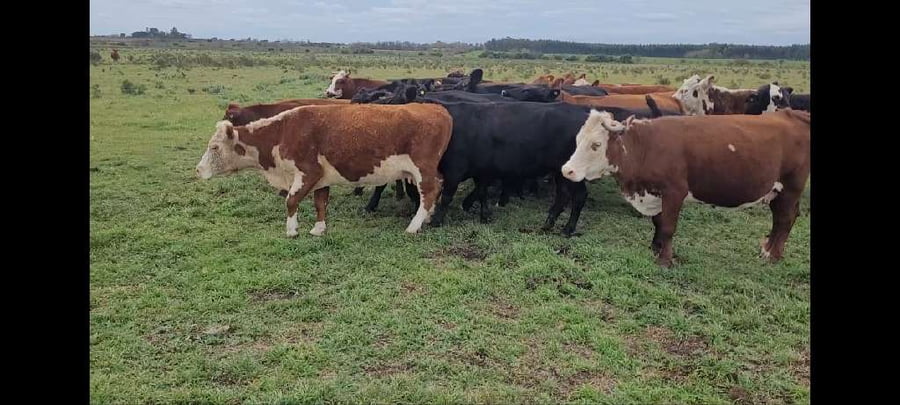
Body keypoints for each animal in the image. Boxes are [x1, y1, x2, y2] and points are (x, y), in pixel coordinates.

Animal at [196, 103, 453, 236]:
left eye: (214, 147)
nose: (198, 170)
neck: (283, 131)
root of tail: (436, 108)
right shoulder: (322, 178)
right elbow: (320, 202)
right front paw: (318, 229)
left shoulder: (308, 172)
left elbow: (291, 201)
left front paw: (292, 230)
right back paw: (427, 218)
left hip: (423, 169)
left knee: (430, 191)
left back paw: (414, 226)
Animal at [560, 109, 810, 267]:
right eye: (578, 139)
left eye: (596, 144)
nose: (567, 170)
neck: (647, 146)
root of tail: (792, 114)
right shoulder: (656, 193)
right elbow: (658, 222)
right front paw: (656, 248)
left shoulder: (674, 192)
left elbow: (668, 226)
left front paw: (665, 260)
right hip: (777, 192)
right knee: (781, 219)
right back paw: (767, 248)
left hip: (790, 188)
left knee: (785, 219)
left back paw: (772, 255)